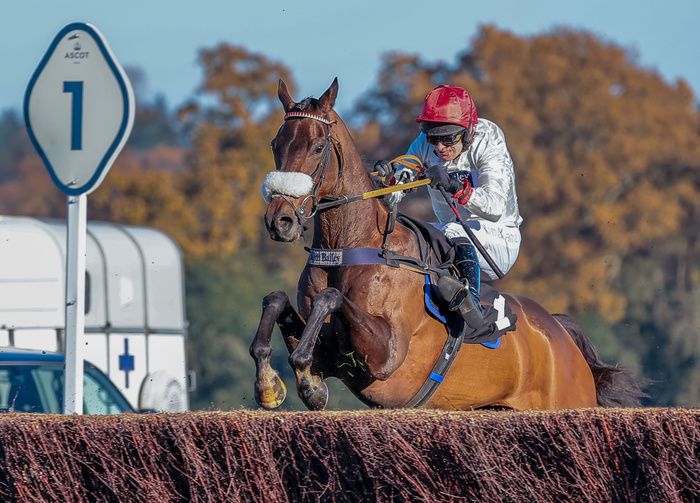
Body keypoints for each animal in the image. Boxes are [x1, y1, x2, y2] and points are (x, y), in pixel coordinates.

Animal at [252, 78, 644, 410]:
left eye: (318, 147)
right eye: (275, 145)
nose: (280, 220)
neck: (351, 246)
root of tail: (561, 334)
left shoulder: (386, 355)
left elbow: (330, 299)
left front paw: (306, 385)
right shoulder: (333, 352)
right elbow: (277, 300)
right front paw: (270, 385)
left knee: (459, 233)